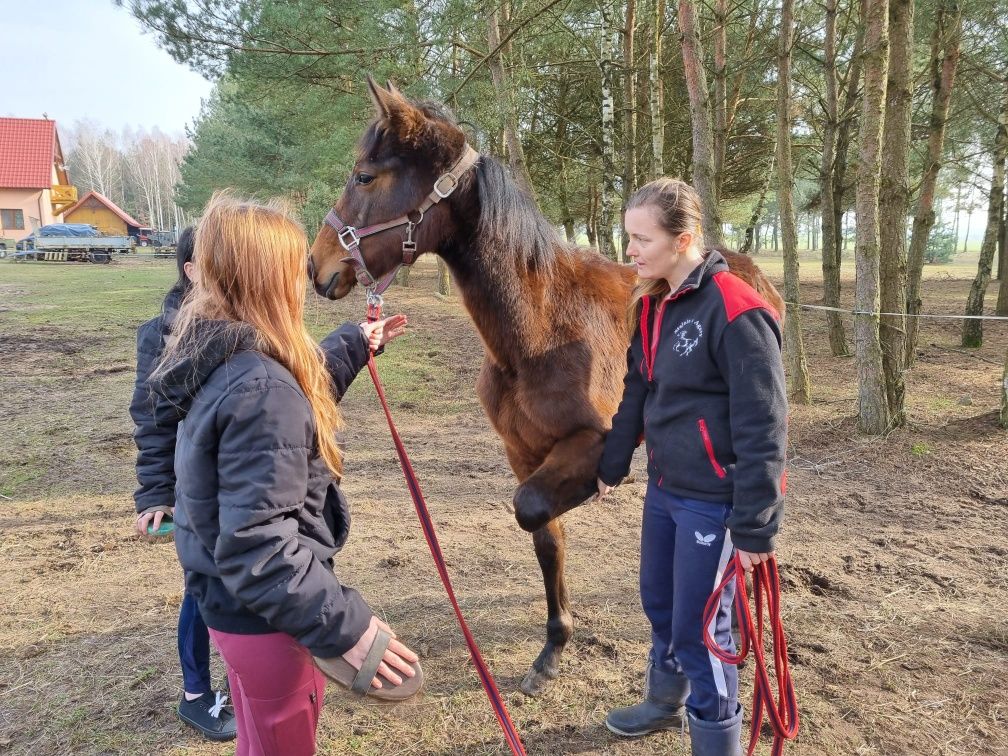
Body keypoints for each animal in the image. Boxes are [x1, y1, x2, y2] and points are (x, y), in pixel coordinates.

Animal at [310, 80, 782, 697]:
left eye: (365, 177)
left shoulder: (590, 441)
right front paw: (553, 648)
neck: (542, 331)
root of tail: (756, 275)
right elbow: (545, 536)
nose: (316, 265)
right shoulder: (523, 450)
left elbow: (533, 506)